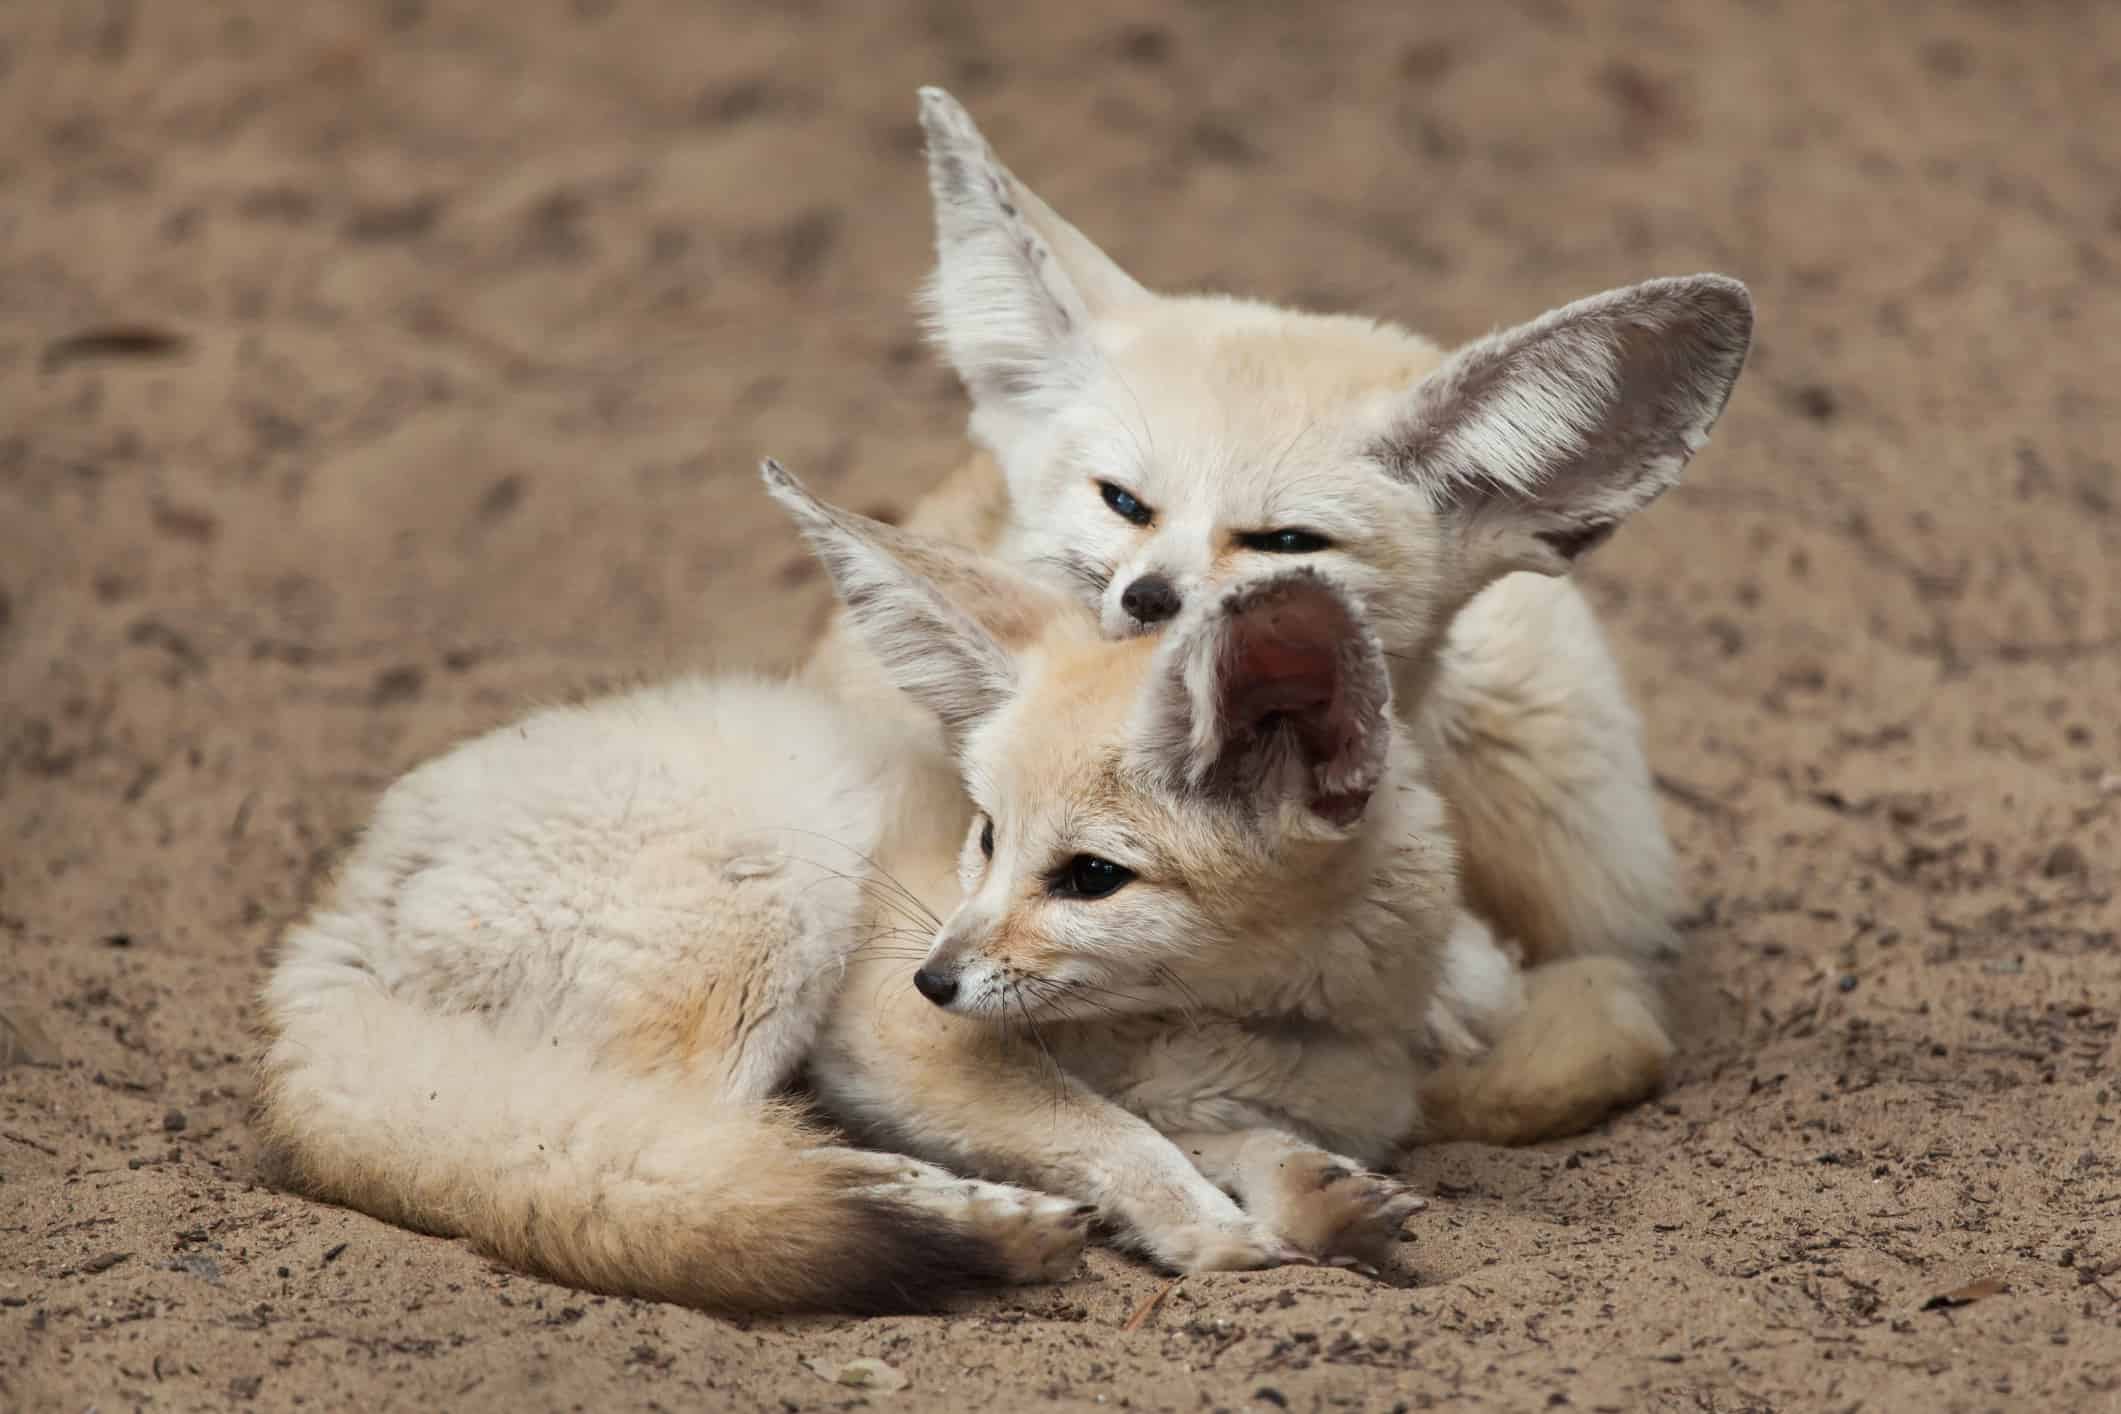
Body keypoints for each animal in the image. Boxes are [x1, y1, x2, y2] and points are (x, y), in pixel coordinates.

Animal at [260, 462, 1527, 1314]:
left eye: (1091, 877)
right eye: (985, 835)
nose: (934, 977)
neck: (1235, 1017)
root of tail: (327, 920)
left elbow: (1228, 1134)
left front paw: (1314, 1194)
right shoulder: (894, 1046)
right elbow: (1111, 1135)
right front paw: (1207, 1231)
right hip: (783, 888)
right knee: (686, 1147)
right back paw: (967, 1223)